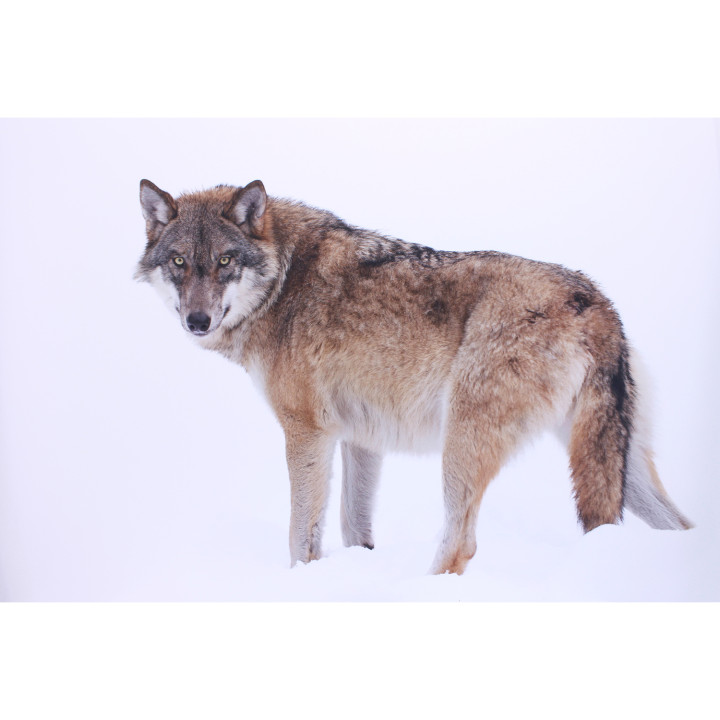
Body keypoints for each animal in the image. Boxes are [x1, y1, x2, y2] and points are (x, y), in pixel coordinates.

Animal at [136, 178, 693, 574]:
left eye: (225, 261)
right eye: (180, 262)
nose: (197, 320)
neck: (283, 282)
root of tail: (596, 302)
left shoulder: (306, 432)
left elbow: (300, 536)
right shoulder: (360, 438)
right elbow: (353, 528)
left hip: (461, 446)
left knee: (460, 545)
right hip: (619, 466)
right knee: (681, 525)